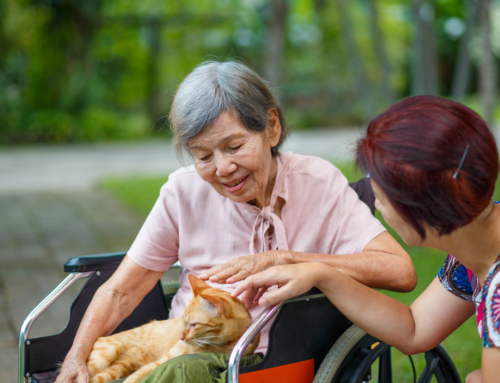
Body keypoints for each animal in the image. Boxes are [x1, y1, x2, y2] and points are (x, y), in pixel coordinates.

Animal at [85, 274, 262, 383]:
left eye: (194, 325)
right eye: (184, 322)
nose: (181, 338)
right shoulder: (162, 361)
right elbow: (134, 379)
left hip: (119, 367)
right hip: (108, 352)